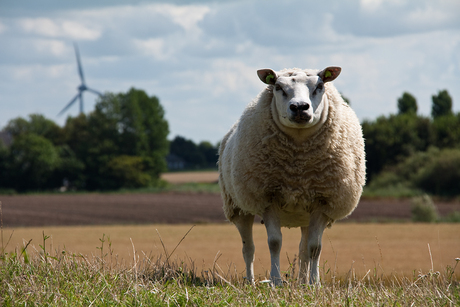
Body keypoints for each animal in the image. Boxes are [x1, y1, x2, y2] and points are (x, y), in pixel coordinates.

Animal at [217, 67, 364, 286]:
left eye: (320, 86)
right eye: (278, 87)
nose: (300, 107)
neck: (298, 169)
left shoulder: (322, 202)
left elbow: (314, 248)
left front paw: (314, 284)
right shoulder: (268, 198)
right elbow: (274, 243)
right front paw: (275, 281)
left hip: (304, 214)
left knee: (303, 249)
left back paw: (303, 281)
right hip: (238, 206)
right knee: (248, 248)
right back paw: (250, 281)